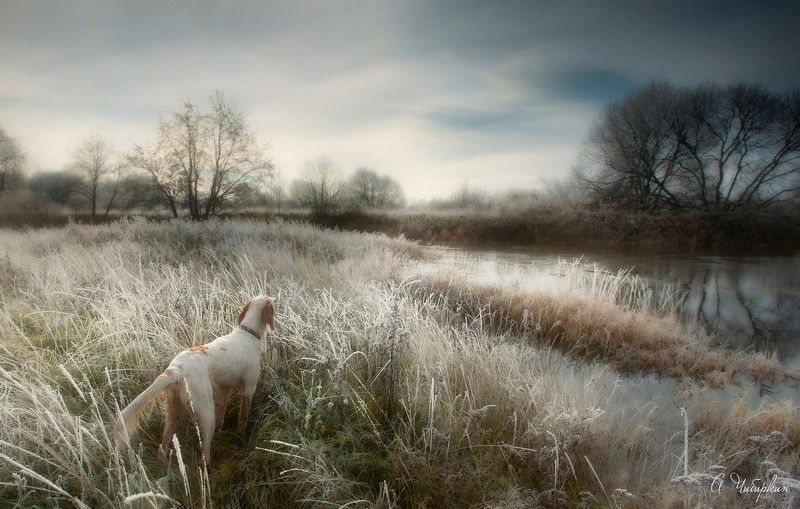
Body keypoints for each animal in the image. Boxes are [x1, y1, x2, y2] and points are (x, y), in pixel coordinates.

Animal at [112, 296, 276, 462]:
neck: (248, 332)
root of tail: (176, 370)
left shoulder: (225, 389)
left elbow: (221, 415)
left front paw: (221, 434)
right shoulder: (249, 387)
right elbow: (243, 417)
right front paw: (241, 437)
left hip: (175, 410)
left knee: (163, 445)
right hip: (206, 412)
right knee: (204, 451)